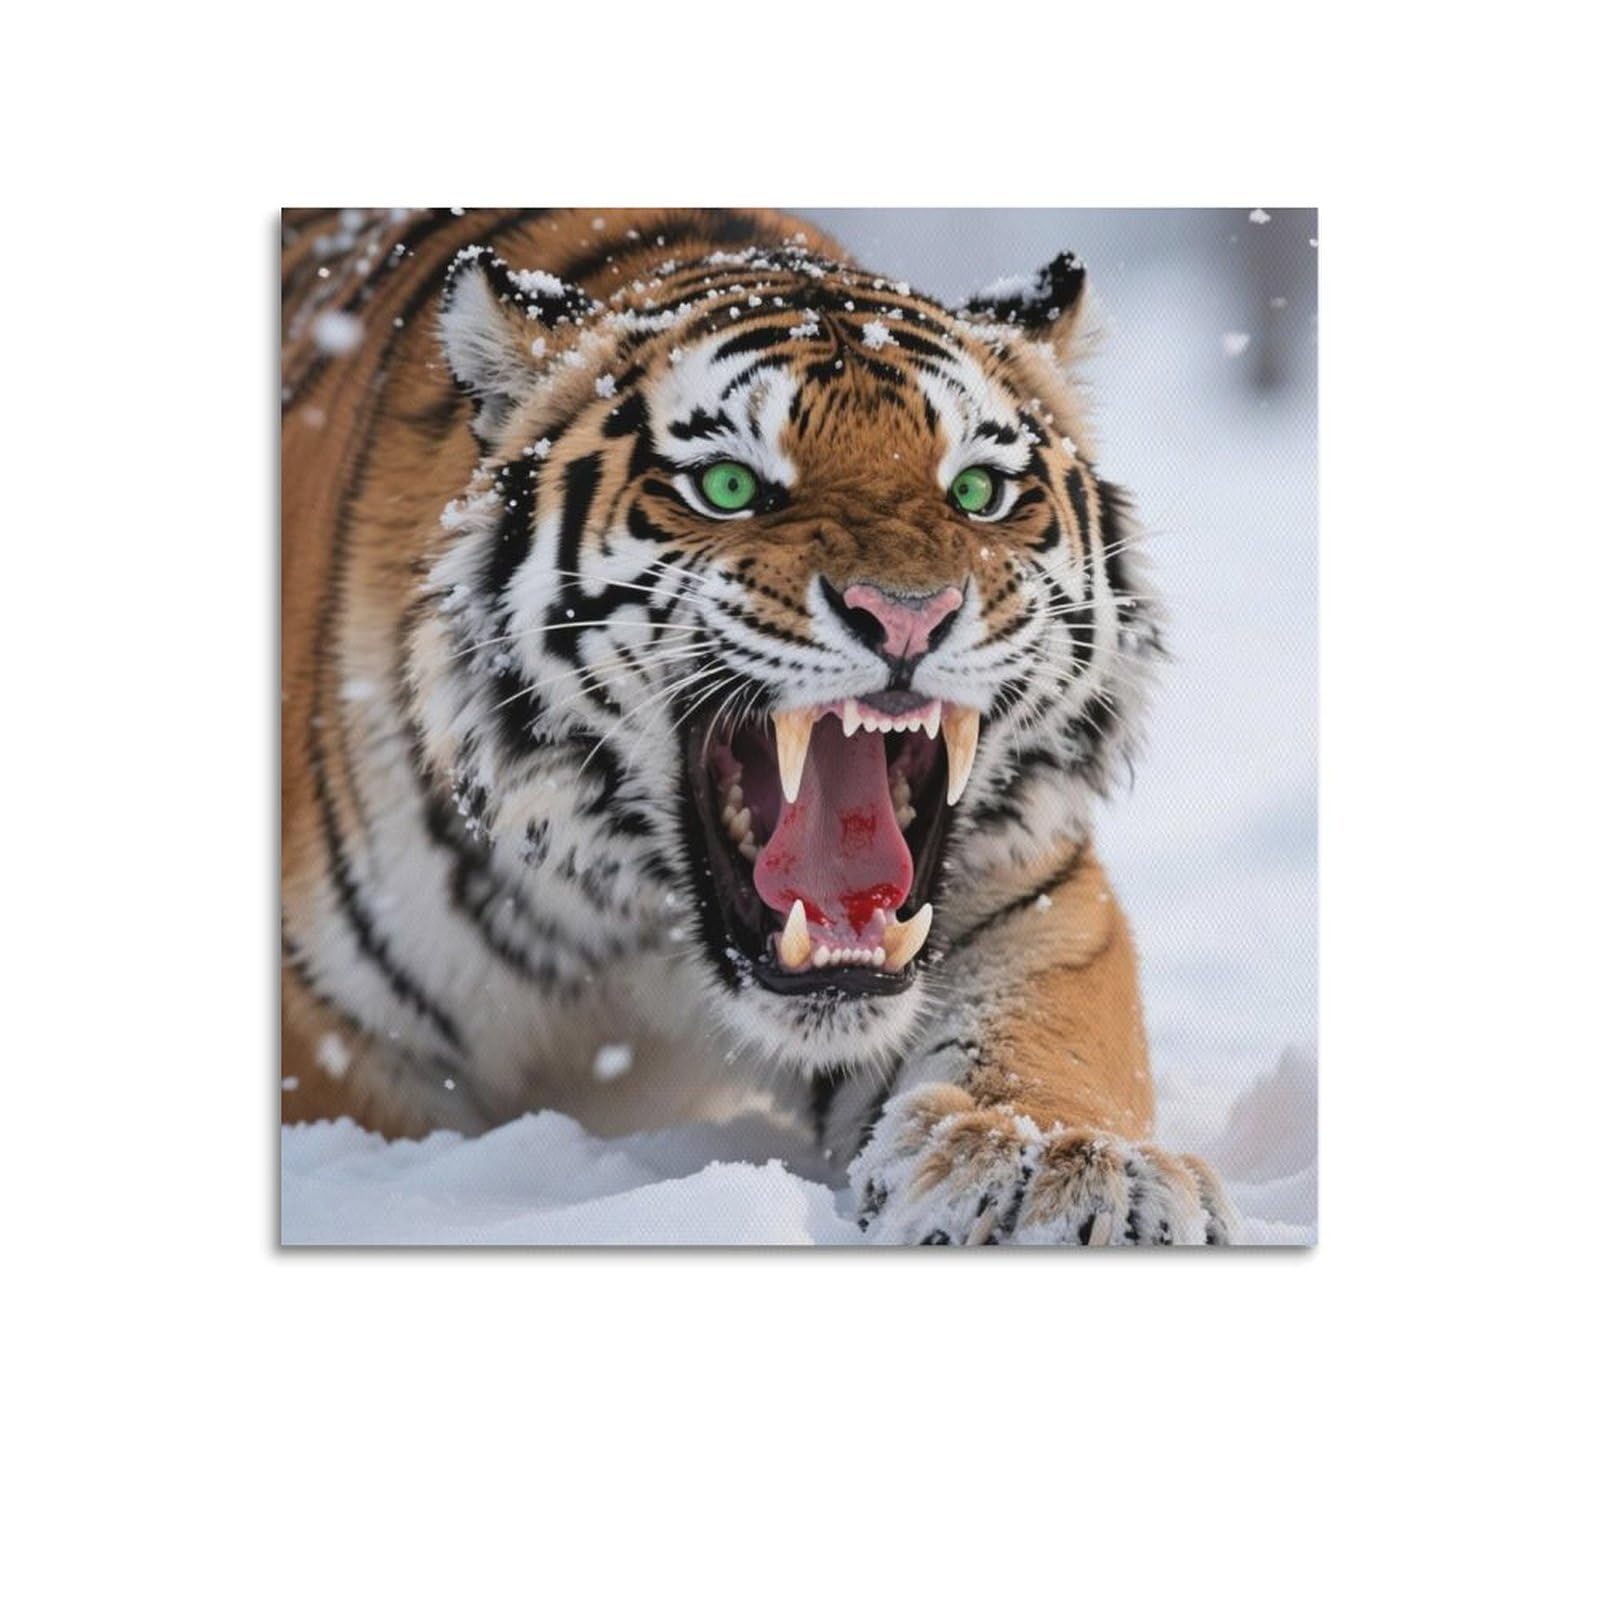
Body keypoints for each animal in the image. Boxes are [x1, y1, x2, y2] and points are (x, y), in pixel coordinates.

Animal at [281, 206, 1238, 1245]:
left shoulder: (1034, 893)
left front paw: (1054, 1167)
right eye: (731, 487)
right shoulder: (331, 1032)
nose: (908, 614)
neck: (644, 922)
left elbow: (1049, 1027)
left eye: (977, 492)